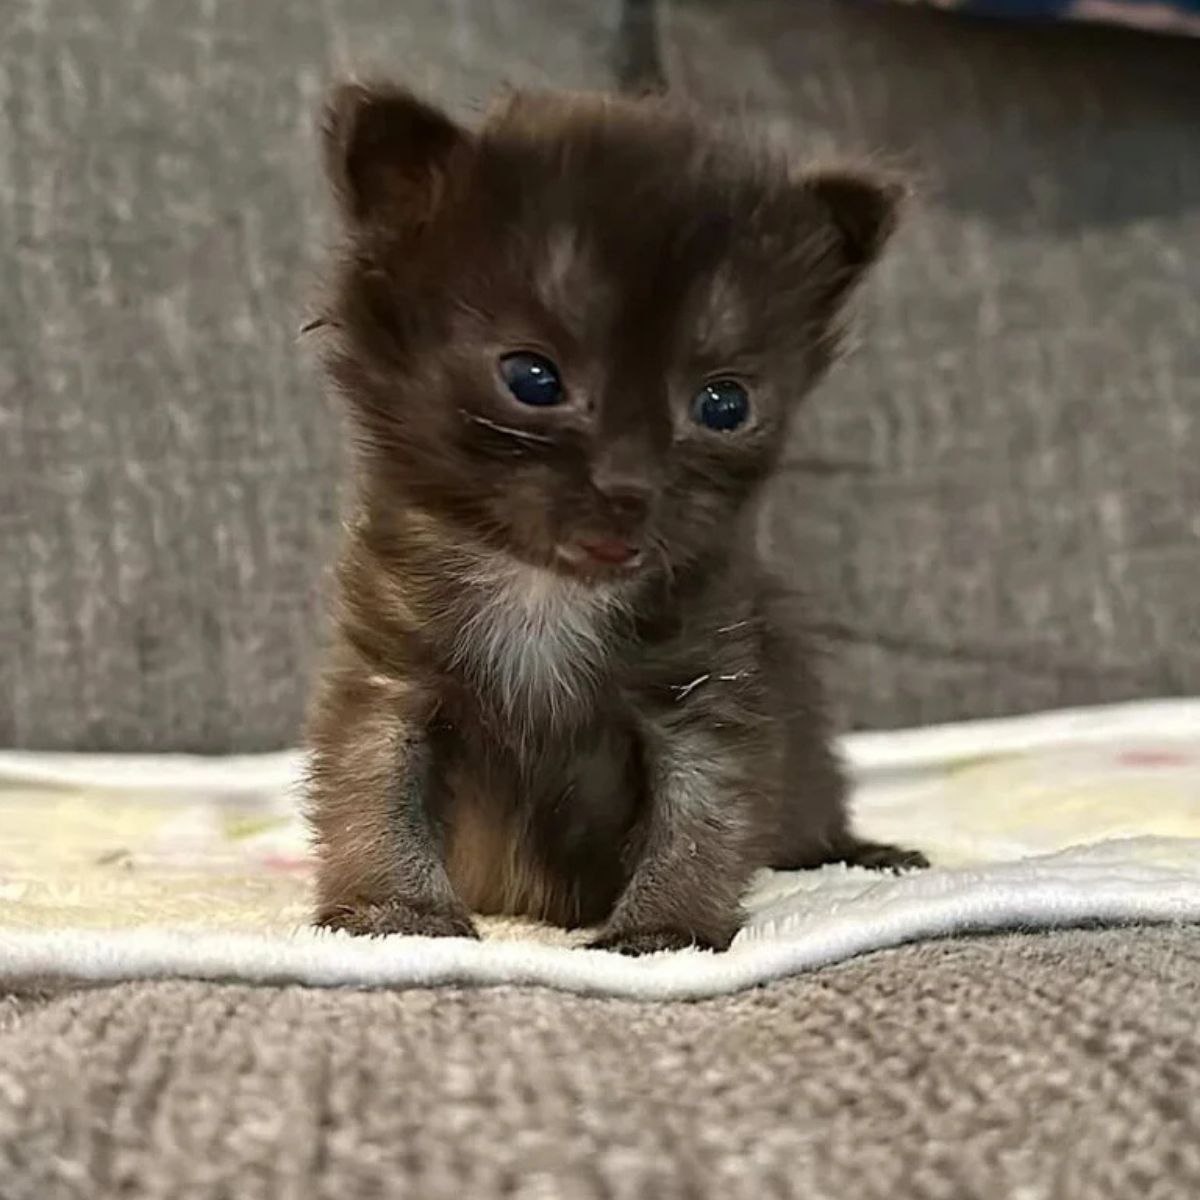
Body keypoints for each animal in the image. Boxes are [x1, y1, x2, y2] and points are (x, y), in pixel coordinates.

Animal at [304, 82, 921, 955]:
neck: (544, 590)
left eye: (724, 405)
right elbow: (375, 787)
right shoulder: (393, 679)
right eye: (532, 379)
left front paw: (663, 929)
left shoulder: (703, 697)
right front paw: (399, 911)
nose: (629, 489)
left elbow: (702, 814)